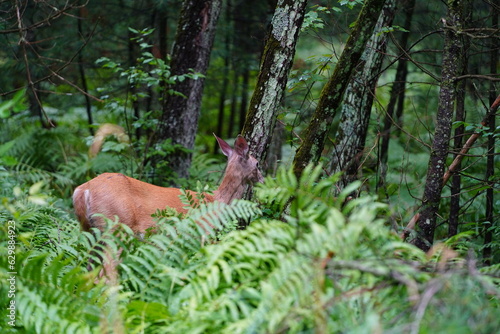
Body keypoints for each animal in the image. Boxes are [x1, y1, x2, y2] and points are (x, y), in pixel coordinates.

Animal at [73, 134, 266, 235]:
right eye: (257, 164)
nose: (264, 180)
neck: (216, 201)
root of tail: (83, 190)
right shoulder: (203, 232)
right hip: (114, 224)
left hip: (88, 228)